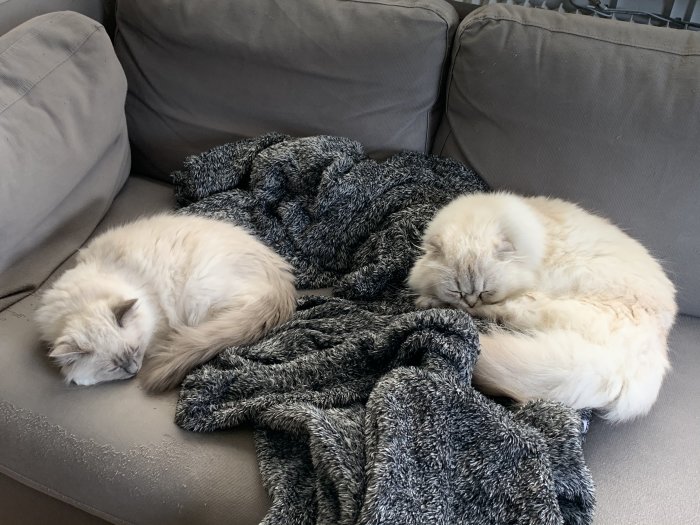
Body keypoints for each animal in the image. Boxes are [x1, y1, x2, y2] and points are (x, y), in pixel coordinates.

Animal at [408, 192, 676, 422]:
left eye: (486, 292)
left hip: (536, 305)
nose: (471, 299)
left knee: (490, 314)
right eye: (458, 290)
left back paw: (429, 303)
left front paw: (428, 299)